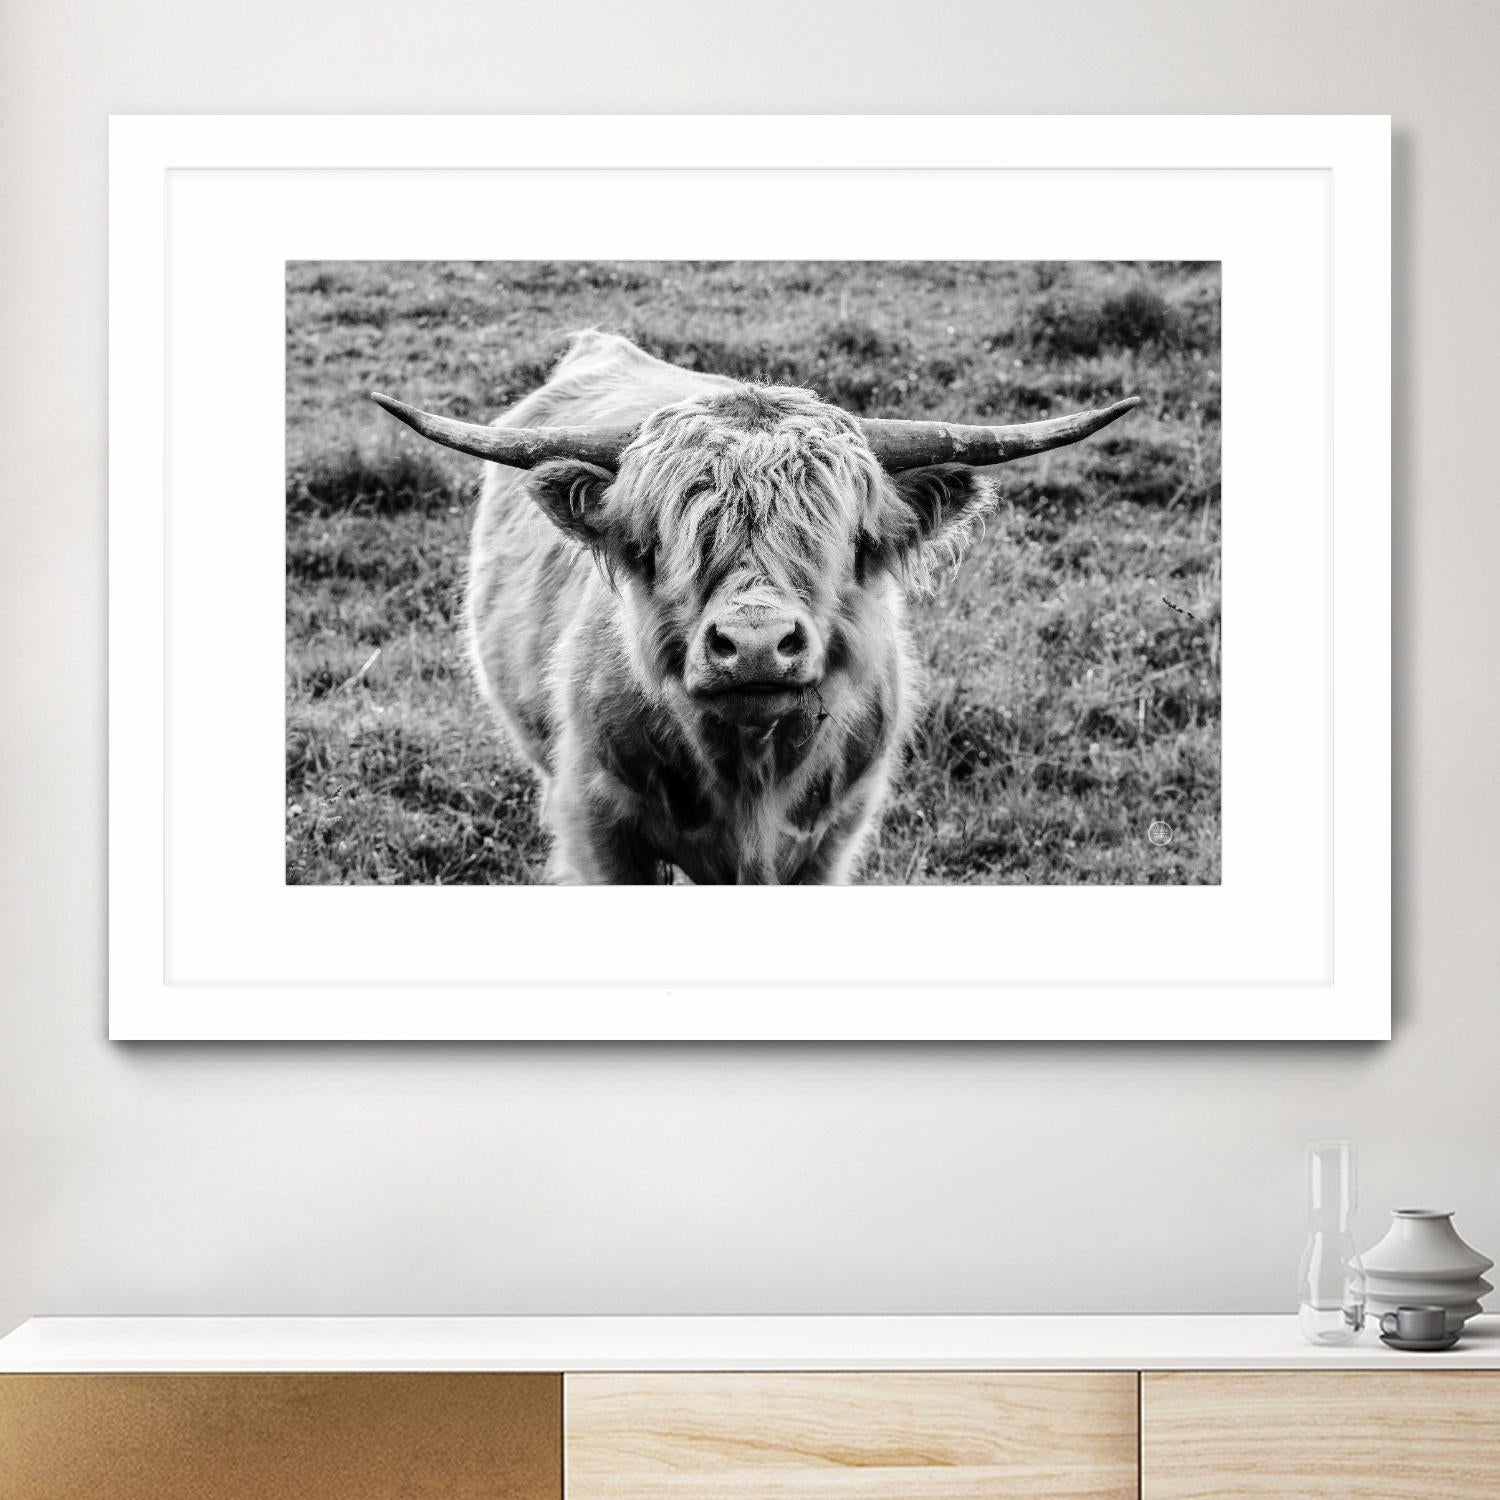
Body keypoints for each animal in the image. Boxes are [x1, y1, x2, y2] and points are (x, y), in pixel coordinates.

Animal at [373, 330, 1137, 885]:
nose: (756, 644)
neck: (750, 773)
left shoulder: (833, 838)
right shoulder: (597, 824)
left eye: (847, 538)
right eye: (661, 540)